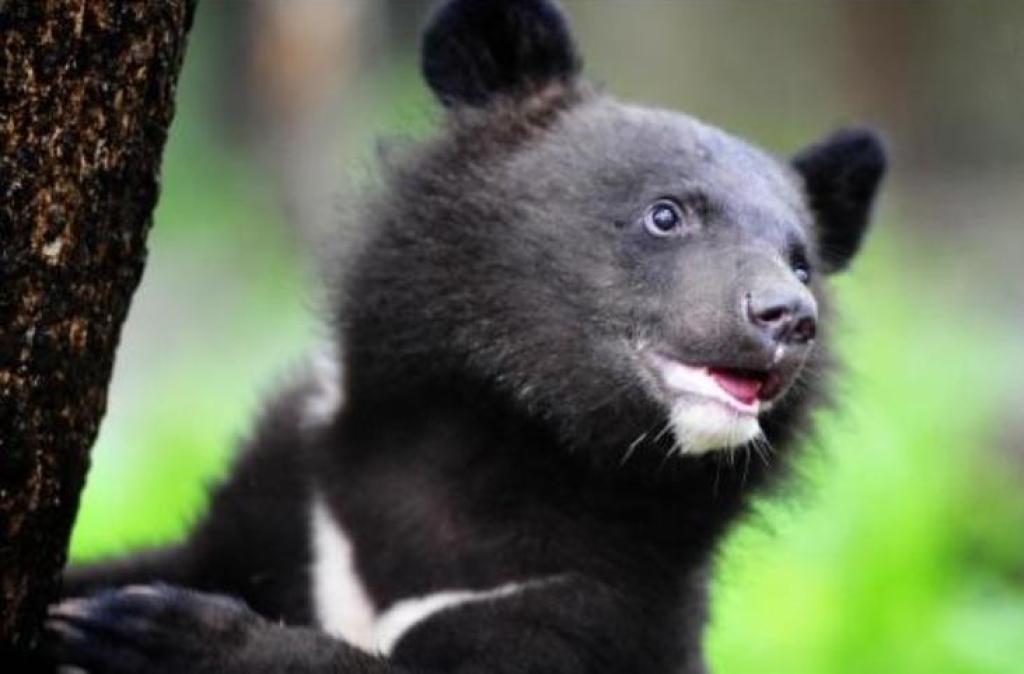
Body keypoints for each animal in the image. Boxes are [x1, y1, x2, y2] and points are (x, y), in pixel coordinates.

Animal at [48, 0, 886, 672]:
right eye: (666, 214)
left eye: (801, 262)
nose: (788, 316)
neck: (497, 447)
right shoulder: (298, 490)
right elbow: (174, 556)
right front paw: (87, 607)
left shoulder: (590, 604)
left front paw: (156, 630)